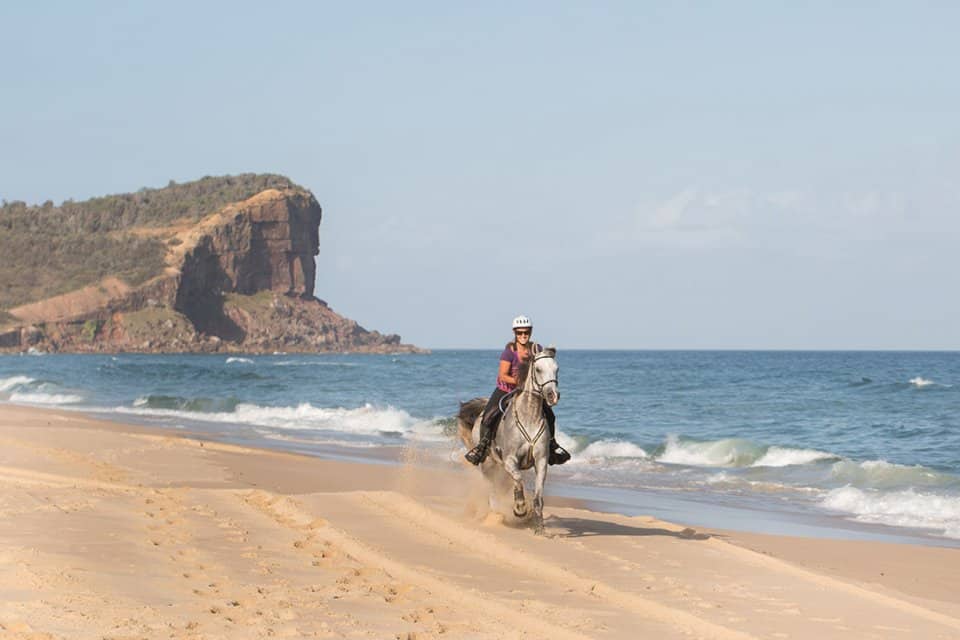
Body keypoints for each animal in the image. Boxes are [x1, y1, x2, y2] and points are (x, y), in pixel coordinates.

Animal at [460, 344, 560, 536]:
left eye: (556, 369)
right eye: (538, 369)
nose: (553, 395)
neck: (529, 417)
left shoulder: (541, 461)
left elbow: (538, 496)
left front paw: (540, 529)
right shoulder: (510, 460)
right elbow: (519, 479)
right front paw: (520, 508)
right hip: (488, 463)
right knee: (492, 488)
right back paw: (495, 515)